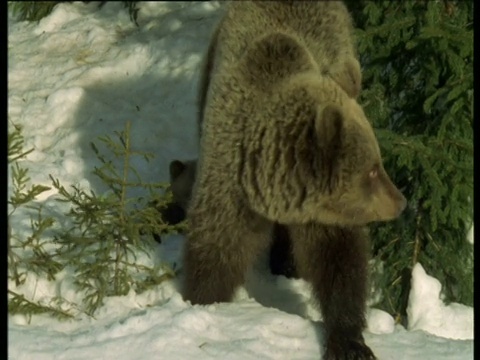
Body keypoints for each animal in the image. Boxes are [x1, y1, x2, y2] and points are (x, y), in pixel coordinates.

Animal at [184, 1, 404, 358]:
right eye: (372, 168)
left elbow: (340, 262)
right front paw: (203, 300)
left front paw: (349, 341)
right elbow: (216, 250)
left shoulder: (323, 212)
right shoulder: (229, 184)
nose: (401, 201)